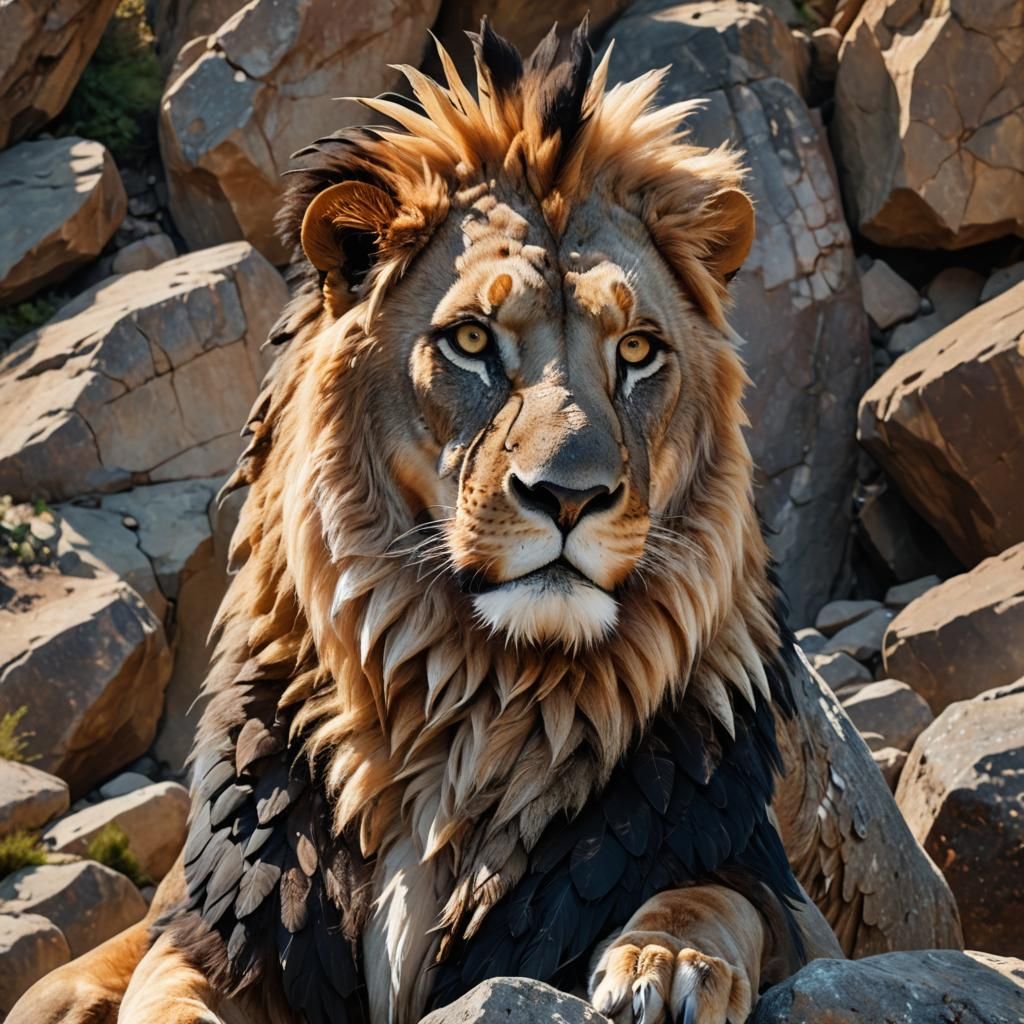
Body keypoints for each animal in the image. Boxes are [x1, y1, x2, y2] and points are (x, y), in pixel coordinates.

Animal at [10, 20, 960, 1024]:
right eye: (471, 340)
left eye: (637, 351)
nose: (570, 495)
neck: (471, 704)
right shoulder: (226, 926)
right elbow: (165, 992)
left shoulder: (780, 898)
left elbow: (712, 898)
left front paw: (664, 961)